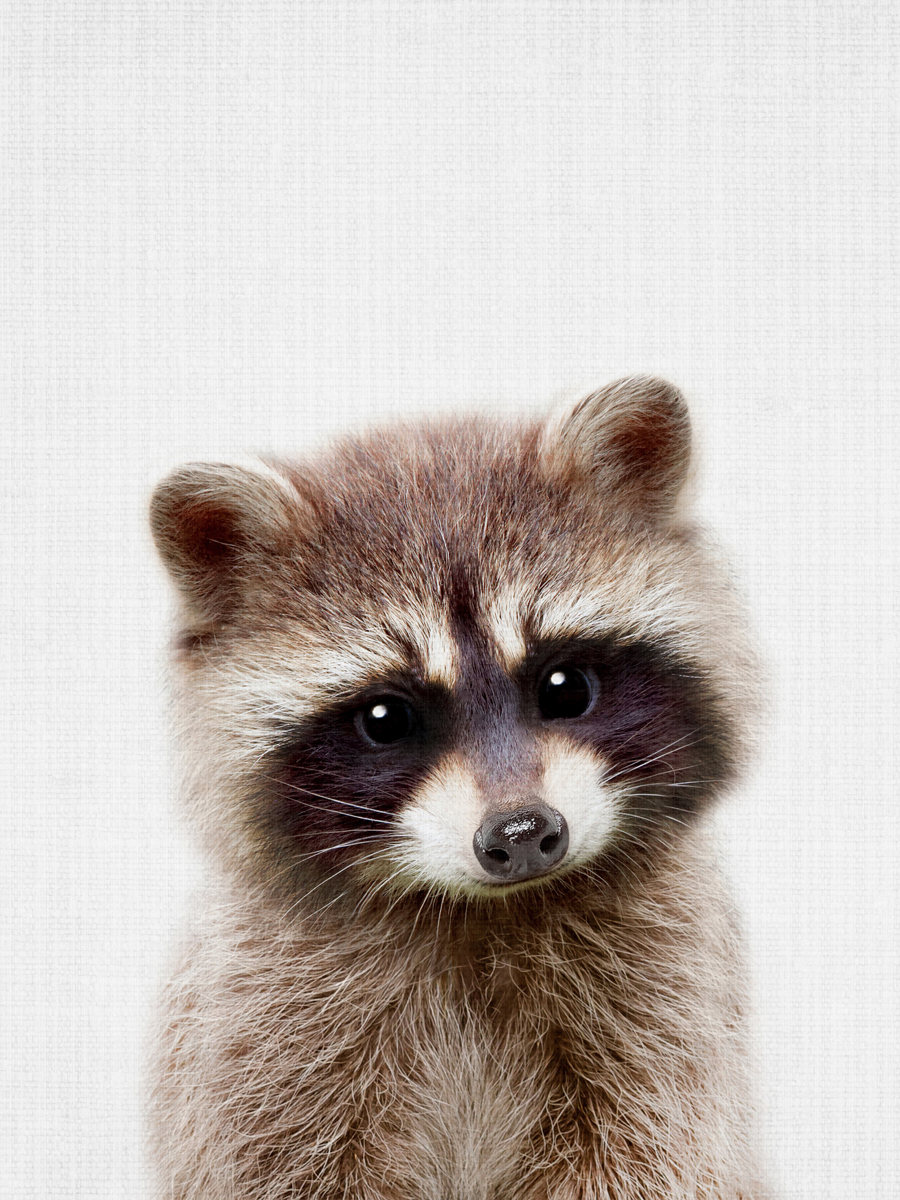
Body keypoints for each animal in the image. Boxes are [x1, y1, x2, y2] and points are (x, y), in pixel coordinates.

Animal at [148, 376, 767, 1200]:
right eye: (385, 718)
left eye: (565, 686)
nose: (522, 833)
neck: (481, 911)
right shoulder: (260, 1030)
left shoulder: (666, 1006)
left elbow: (652, 1152)